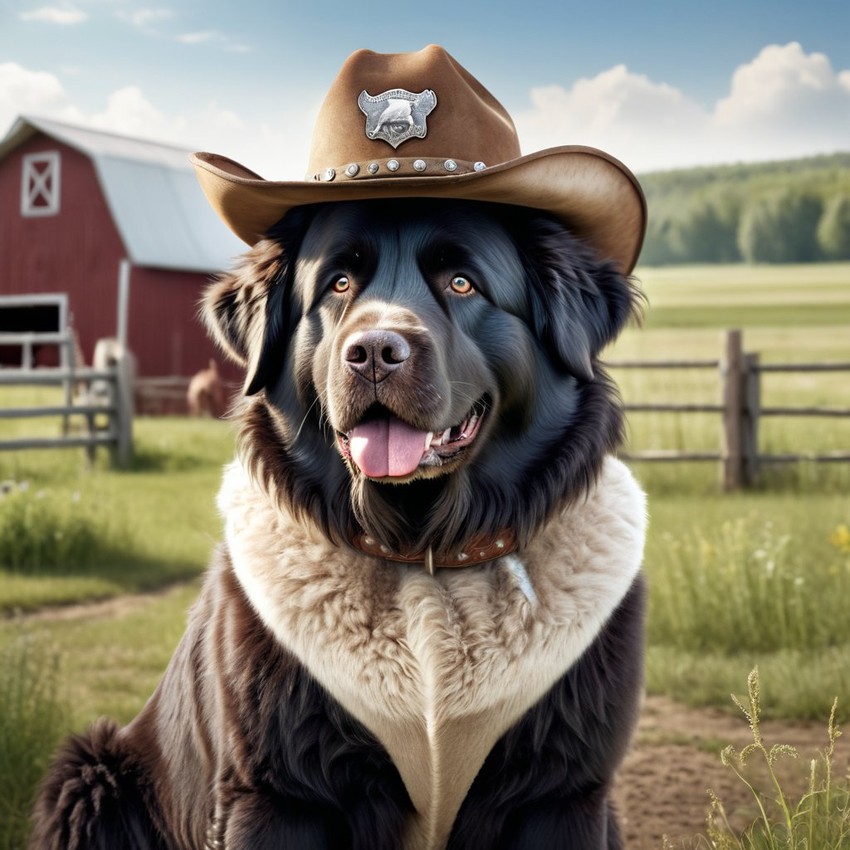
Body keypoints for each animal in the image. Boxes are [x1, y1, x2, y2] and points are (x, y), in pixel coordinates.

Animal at [29, 46, 644, 848]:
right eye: (340, 283)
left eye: (462, 281)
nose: (374, 353)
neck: (423, 555)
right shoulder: (277, 792)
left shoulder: (564, 792)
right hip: (92, 774)